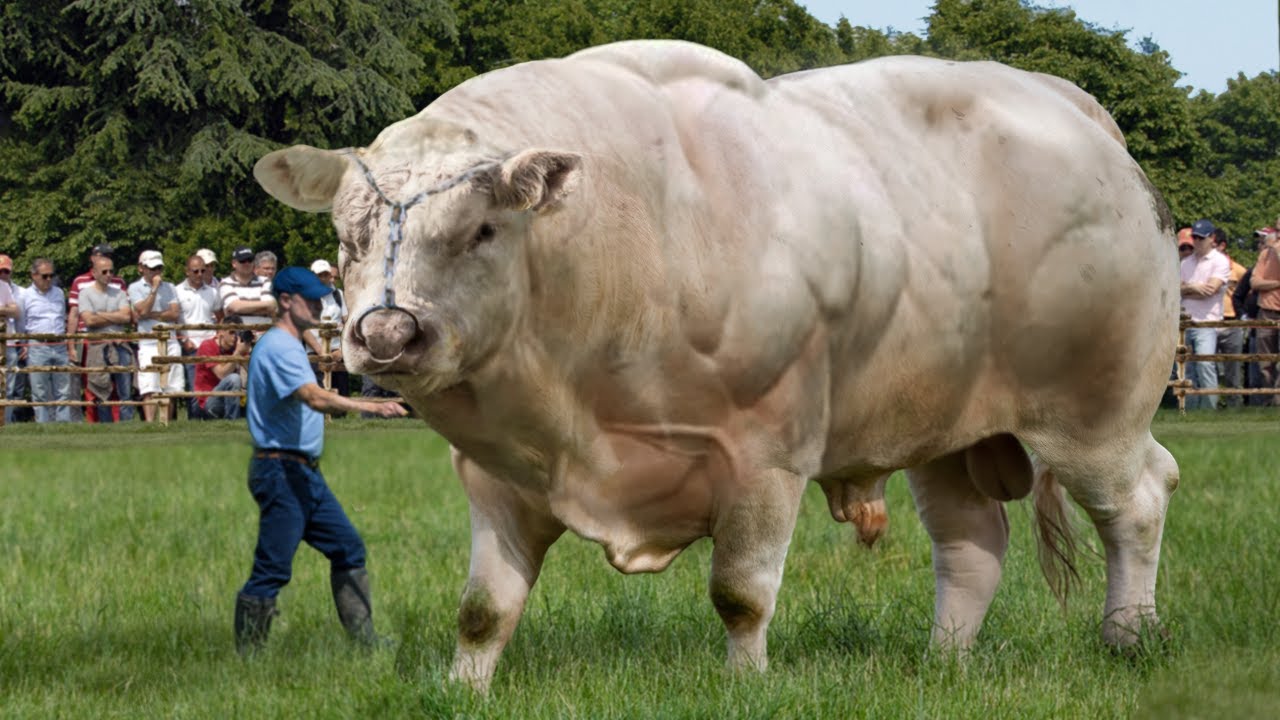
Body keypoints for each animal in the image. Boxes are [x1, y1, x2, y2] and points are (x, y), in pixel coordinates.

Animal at [254, 40, 1182, 691]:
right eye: (347, 235)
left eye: (481, 229)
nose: (385, 335)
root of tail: (1070, 105)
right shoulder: (495, 475)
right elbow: (485, 609)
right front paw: (464, 688)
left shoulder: (765, 456)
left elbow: (741, 591)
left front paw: (746, 684)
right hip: (946, 427)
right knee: (971, 544)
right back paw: (945, 659)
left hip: (1093, 414)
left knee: (1136, 502)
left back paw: (1129, 636)